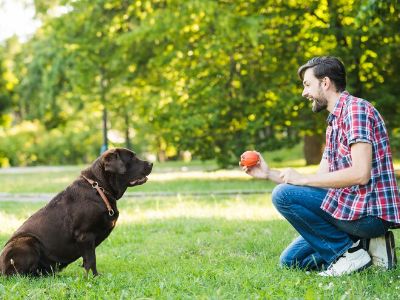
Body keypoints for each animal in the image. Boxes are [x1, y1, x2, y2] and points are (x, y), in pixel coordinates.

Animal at [0, 148, 152, 276]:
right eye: (132, 158)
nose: (151, 163)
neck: (99, 188)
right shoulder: (85, 235)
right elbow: (91, 259)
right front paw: (94, 277)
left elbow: (87, 260)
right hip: (26, 241)